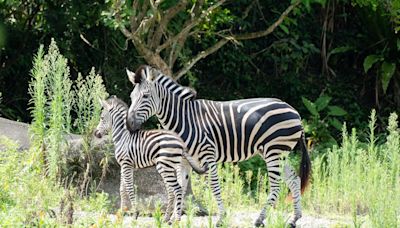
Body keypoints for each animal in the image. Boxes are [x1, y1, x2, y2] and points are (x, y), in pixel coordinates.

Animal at [126, 65, 310, 227]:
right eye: (131, 97)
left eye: (145, 96)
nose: (129, 124)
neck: (185, 119)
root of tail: (295, 112)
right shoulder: (184, 160)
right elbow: (180, 187)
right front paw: (172, 219)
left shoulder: (208, 154)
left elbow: (213, 186)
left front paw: (221, 219)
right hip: (279, 154)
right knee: (294, 180)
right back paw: (294, 219)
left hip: (274, 151)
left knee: (276, 186)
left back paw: (259, 219)